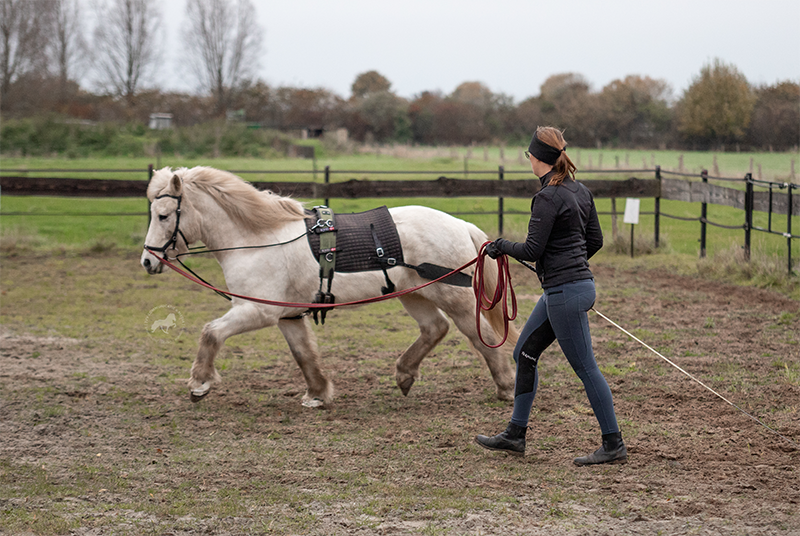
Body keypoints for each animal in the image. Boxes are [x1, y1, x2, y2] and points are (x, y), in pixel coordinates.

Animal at [140, 165, 516, 408]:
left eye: (162, 215)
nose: (147, 260)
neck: (257, 239)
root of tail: (460, 224)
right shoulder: (288, 316)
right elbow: (304, 354)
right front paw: (318, 393)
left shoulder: (257, 310)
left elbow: (211, 333)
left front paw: (200, 383)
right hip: (415, 294)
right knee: (434, 328)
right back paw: (405, 374)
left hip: (455, 297)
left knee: (480, 335)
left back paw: (507, 386)